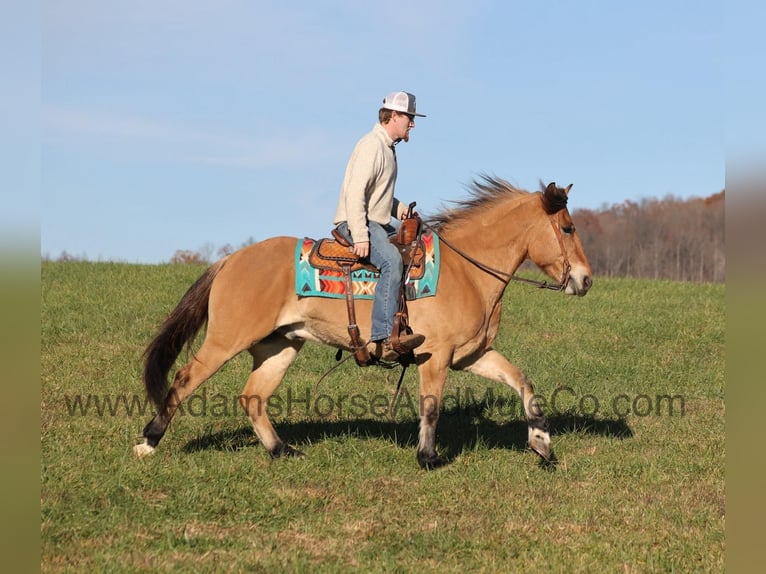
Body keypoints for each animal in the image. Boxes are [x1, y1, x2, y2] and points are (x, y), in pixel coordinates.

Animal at [133, 176, 592, 469]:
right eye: (568, 227)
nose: (586, 280)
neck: (465, 271)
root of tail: (231, 259)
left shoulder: (471, 354)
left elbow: (522, 380)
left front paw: (541, 442)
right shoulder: (435, 354)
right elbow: (431, 406)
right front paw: (428, 457)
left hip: (280, 345)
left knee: (253, 398)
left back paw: (282, 451)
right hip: (226, 339)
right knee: (185, 380)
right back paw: (149, 441)